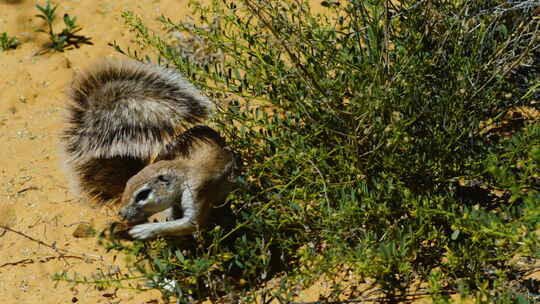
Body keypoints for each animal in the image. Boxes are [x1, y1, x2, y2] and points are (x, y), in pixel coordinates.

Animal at [61, 59, 234, 240]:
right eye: (126, 186)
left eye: (142, 195)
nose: (122, 214)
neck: (182, 170)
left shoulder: (197, 190)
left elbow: (190, 223)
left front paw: (144, 230)